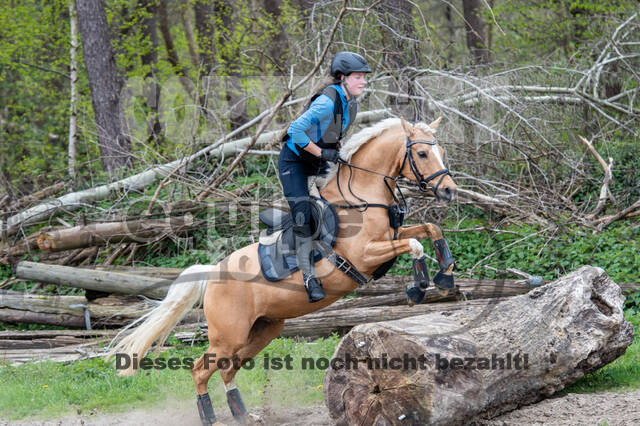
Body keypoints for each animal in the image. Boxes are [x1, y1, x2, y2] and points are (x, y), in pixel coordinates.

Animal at [111, 116, 460, 426]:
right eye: (422, 153)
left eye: (441, 150)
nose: (449, 192)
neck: (360, 199)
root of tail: (212, 273)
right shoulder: (366, 254)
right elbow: (415, 244)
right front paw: (419, 286)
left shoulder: (390, 239)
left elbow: (430, 229)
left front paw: (445, 275)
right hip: (228, 336)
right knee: (200, 369)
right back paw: (211, 418)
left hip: (262, 331)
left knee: (227, 369)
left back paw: (244, 415)